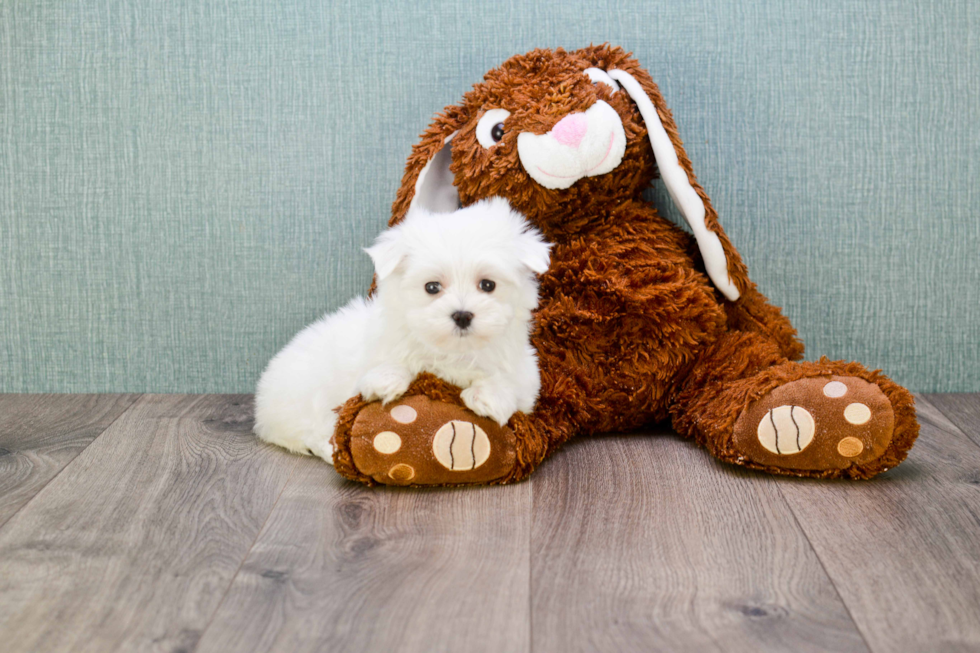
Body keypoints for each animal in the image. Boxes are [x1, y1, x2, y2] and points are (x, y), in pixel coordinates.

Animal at [253, 196, 552, 460]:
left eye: (488, 285)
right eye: (432, 287)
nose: (462, 315)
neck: (452, 352)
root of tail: (262, 407)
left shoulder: (525, 374)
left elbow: (508, 381)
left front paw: (489, 396)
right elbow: (390, 361)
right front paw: (386, 381)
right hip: (305, 397)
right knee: (313, 432)